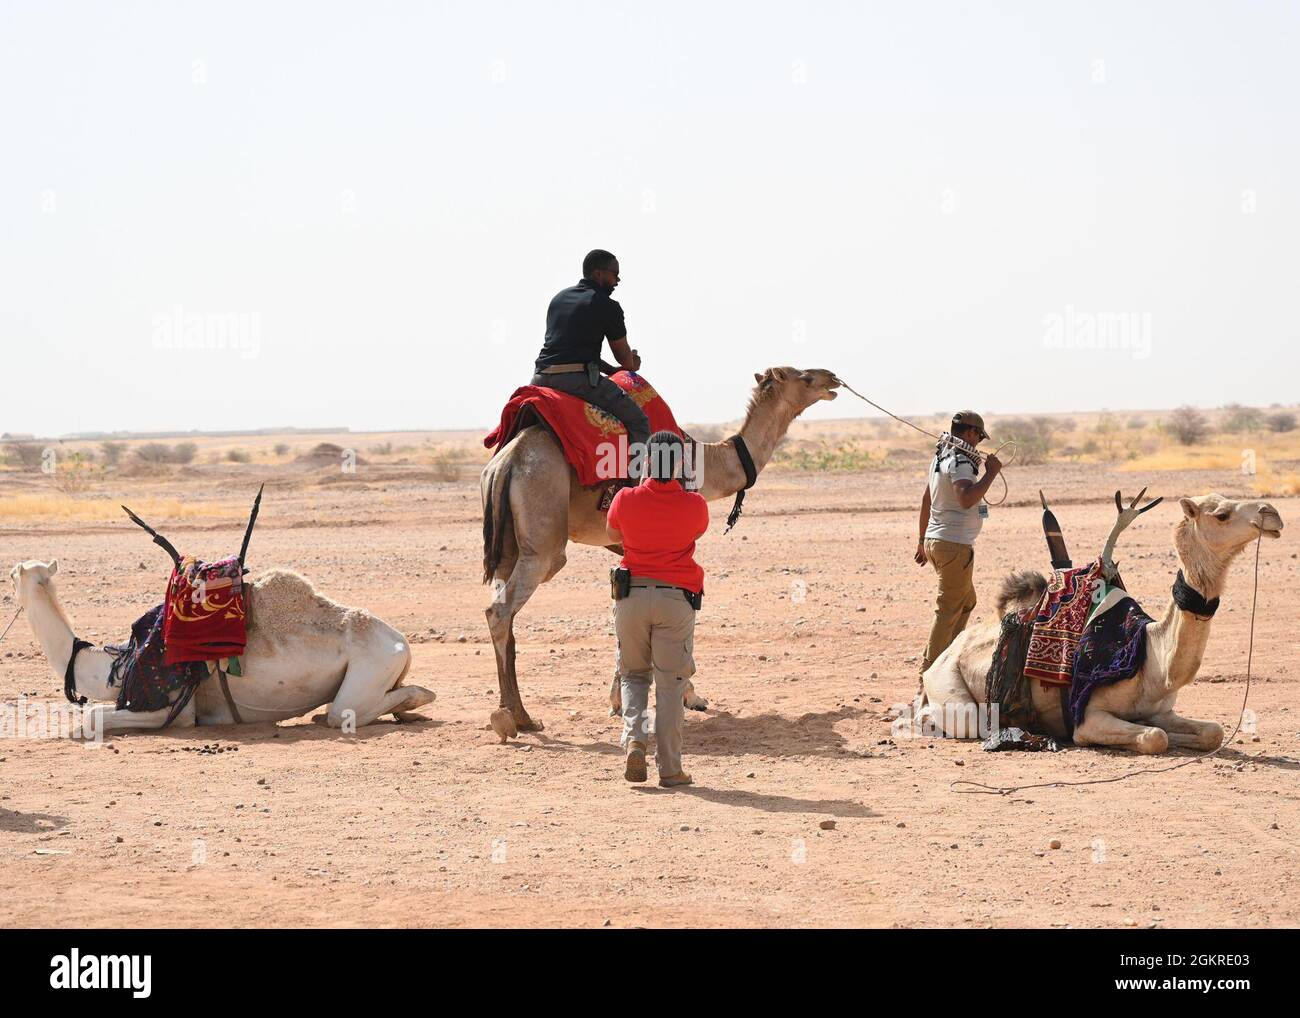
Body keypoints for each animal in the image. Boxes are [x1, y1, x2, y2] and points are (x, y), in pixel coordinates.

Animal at [8, 561, 436, 738]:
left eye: (12, 573)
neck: (116, 665)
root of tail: (401, 641)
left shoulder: (175, 709)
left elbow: (90, 720)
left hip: (371, 665)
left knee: (342, 713)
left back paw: (415, 700)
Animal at [483, 366, 837, 733]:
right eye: (805, 378)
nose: (833, 378)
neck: (706, 462)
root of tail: (506, 463)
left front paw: (618, 701)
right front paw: (690, 696)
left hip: (508, 544)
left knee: (502, 611)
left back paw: (510, 713)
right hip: (544, 541)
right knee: (501, 611)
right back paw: (519, 717)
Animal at [920, 496, 1284, 754]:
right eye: (1221, 514)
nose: (1271, 512)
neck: (1151, 657)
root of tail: (948, 651)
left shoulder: (1161, 709)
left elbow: (1211, 732)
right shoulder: (1089, 715)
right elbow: (1155, 738)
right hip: (951, 687)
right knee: (962, 719)